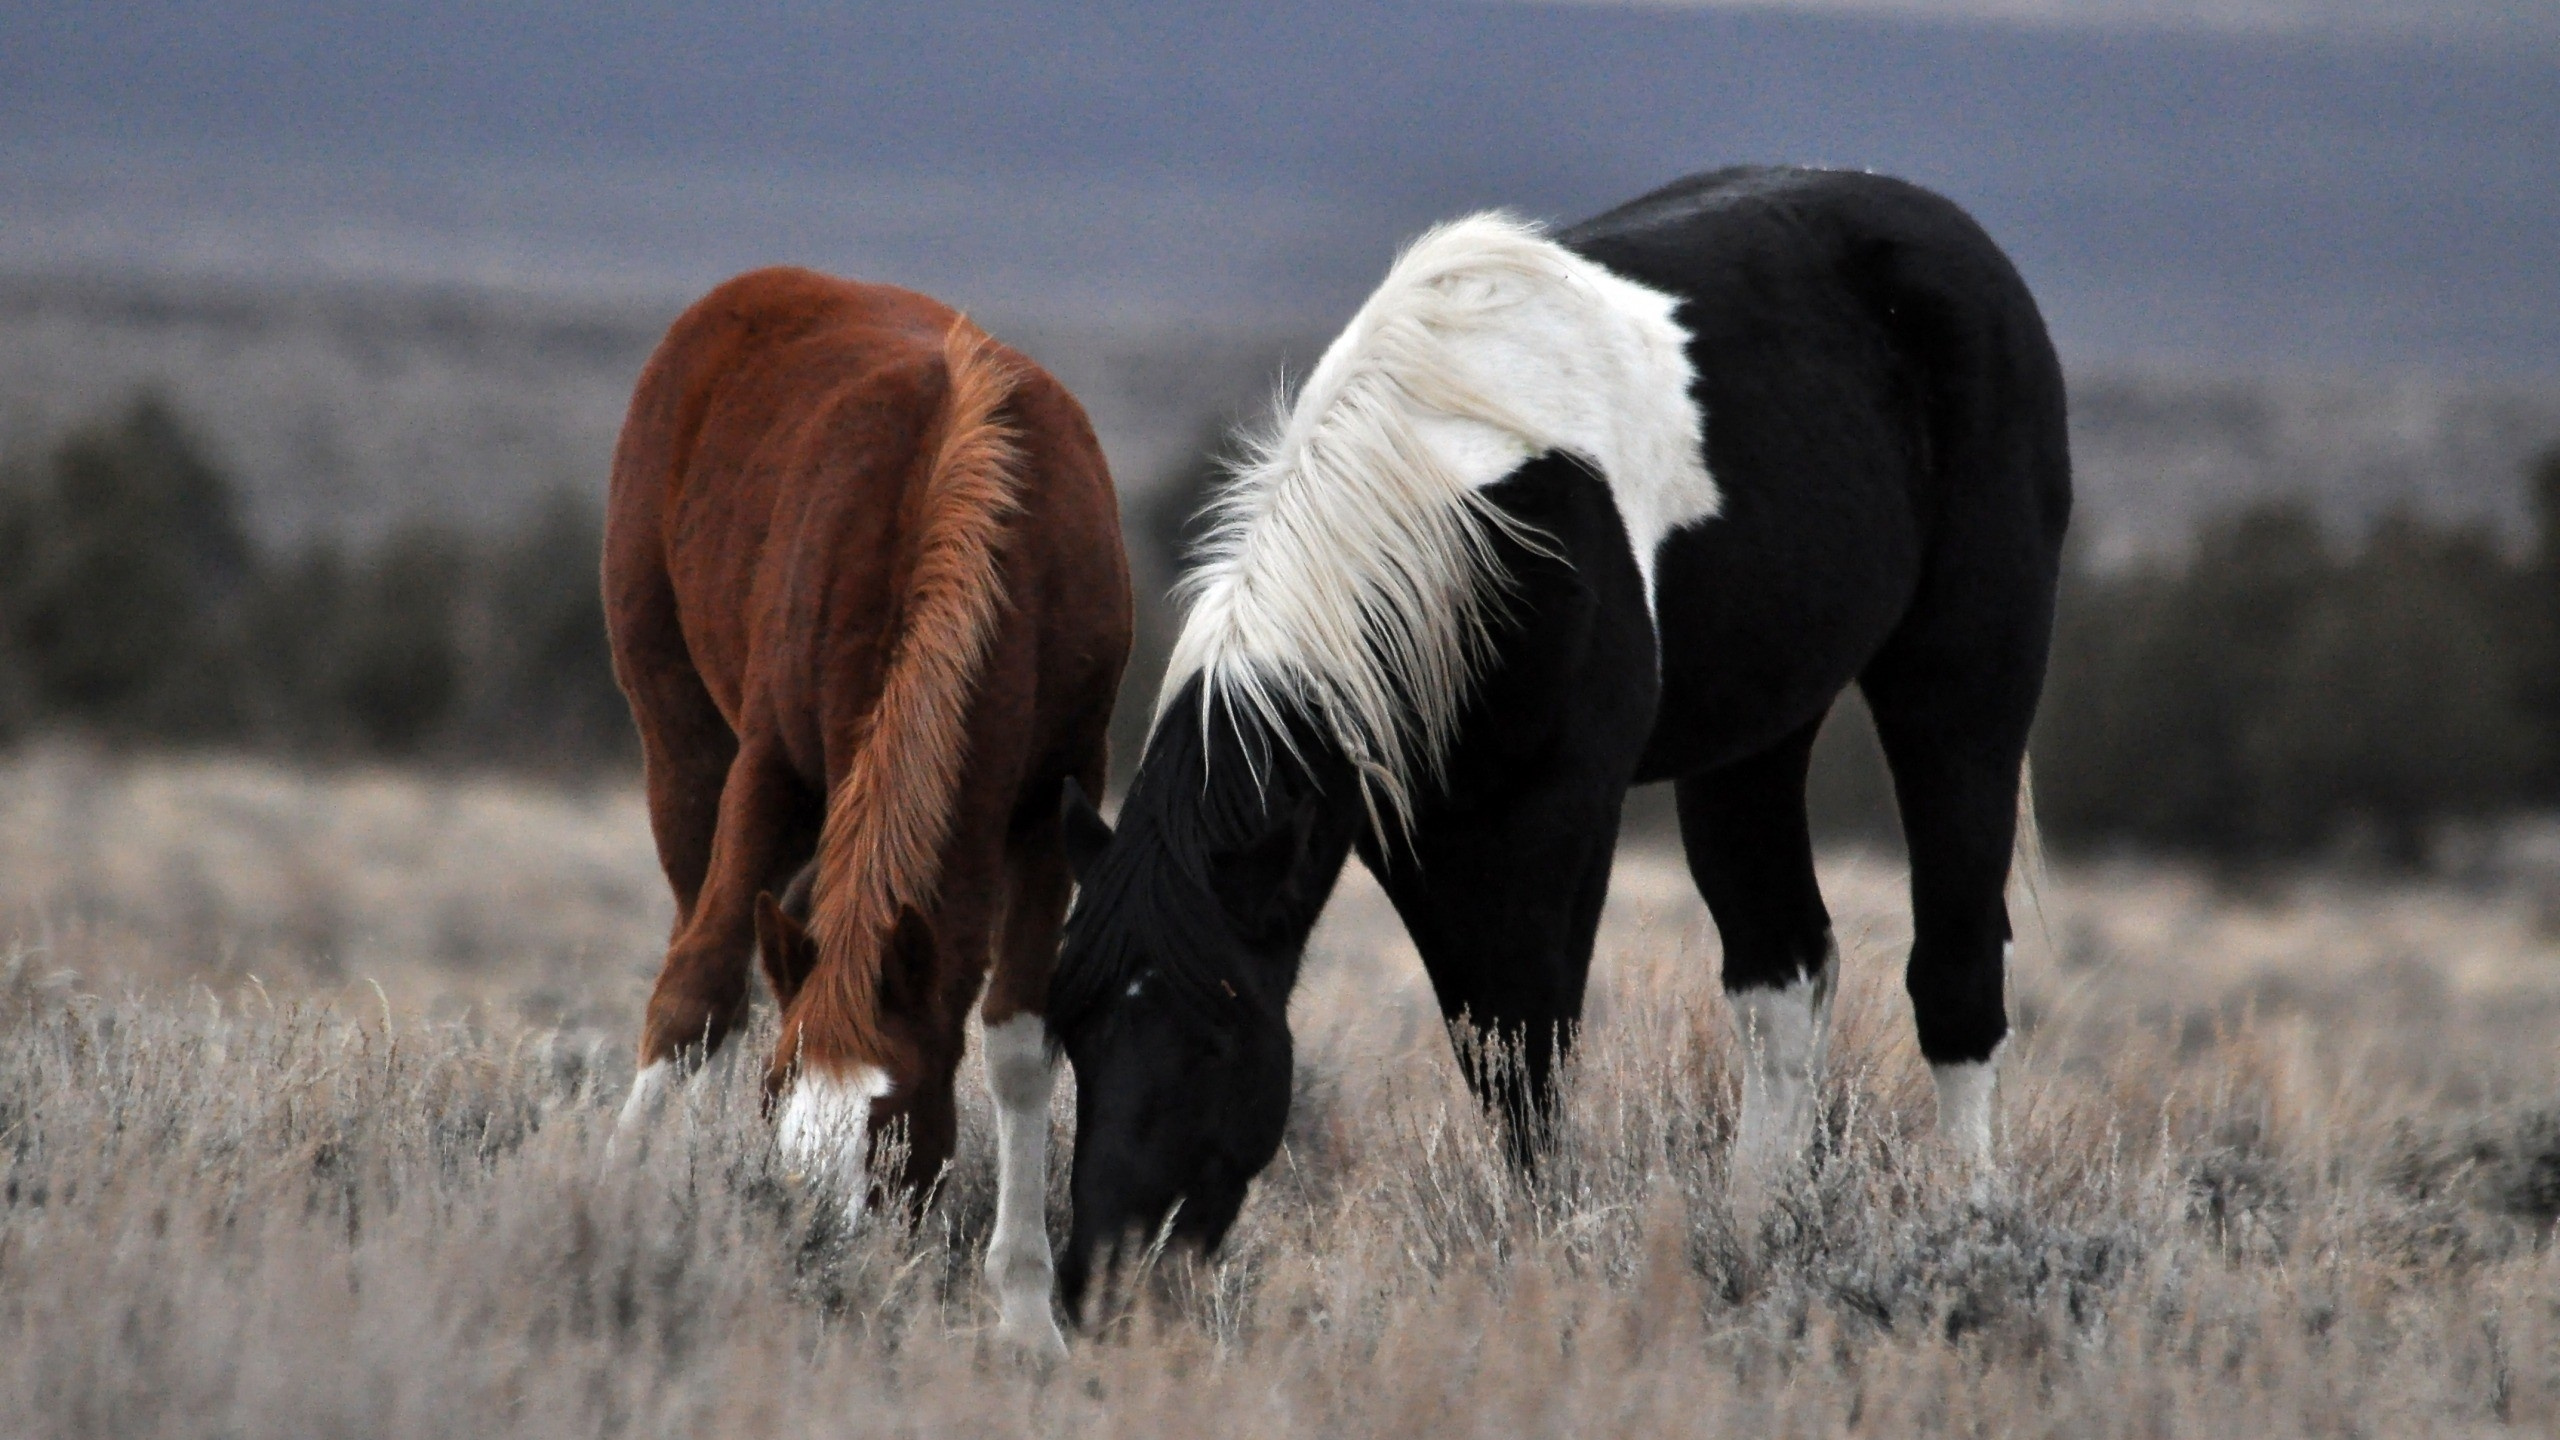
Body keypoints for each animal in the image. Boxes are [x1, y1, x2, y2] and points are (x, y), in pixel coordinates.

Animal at [604, 267, 1131, 1357]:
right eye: (778, 1100)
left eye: (895, 1124)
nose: (818, 1256)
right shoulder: (770, 766)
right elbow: (694, 992)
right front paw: (612, 1199)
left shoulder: (1056, 794)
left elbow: (1020, 1040)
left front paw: (1027, 1311)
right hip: (680, 750)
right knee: (705, 950)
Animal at [1047, 167, 2070, 1313]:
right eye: (1071, 1029)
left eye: (1218, 1030)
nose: (1099, 1286)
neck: (1464, 516)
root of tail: (1946, 231)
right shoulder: (1423, 835)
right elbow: (1490, 1051)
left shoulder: (1557, 815)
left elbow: (1529, 1049)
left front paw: (1540, 1257)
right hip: (1755, 739)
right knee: (1784, 976)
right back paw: (1755, 1237)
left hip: (1964, 679)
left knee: (1956, 974)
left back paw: (1971, 1239)